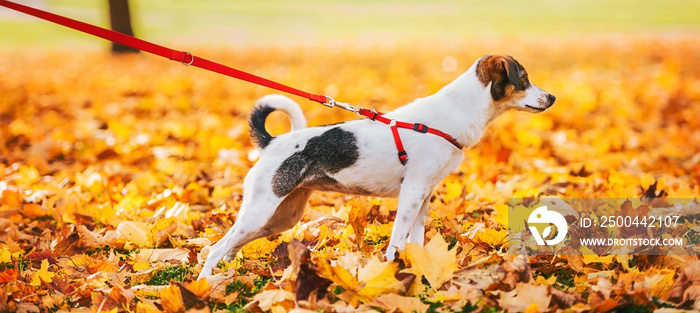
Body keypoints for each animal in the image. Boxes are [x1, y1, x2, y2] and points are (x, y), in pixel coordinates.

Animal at [196, 54, 552, 276]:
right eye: (523, 79)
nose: (552, 98)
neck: (452, 115)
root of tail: (271, 143)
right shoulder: (411, 193)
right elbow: (397, 241)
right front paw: (392, 271)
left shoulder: (423, 195)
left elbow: (415, 240)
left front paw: (417, 269)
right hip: (261, 211)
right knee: (216, 248)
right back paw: (205, 286)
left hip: (281, 217)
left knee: (230, 247)